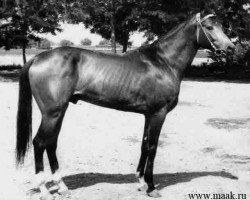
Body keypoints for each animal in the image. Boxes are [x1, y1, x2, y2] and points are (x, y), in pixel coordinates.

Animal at [16, 13, 234, 199]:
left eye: (222, 25)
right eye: (209, 27)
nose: (231, 48)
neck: (163, 62)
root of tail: (37, 58)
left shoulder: (148, 114)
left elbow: (144, 145)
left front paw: (141, 182)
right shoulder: (159, 114)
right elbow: (153, 147)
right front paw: (152, 187)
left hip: (59, 112)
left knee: (51, 143)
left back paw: (62, 187)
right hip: (52, 113)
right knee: (39, 143)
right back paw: (44, 190)